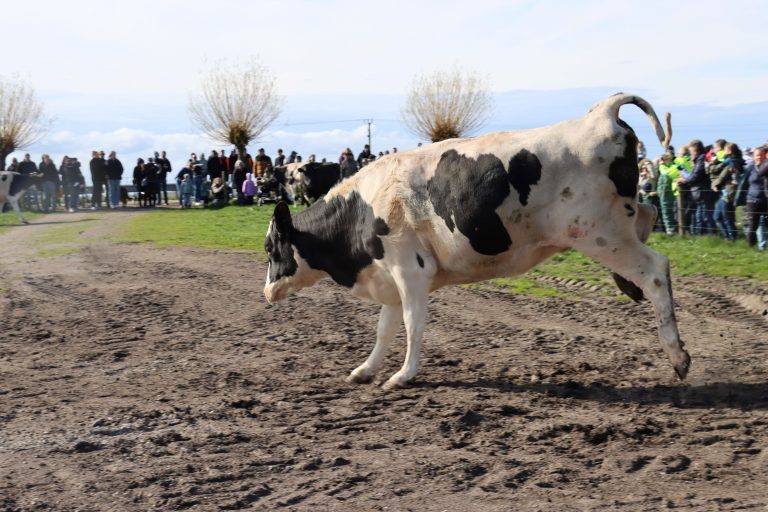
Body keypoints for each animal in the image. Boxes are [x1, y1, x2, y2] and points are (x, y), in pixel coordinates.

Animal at [264, 93, 688, 388]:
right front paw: (366, 369)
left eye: (271, 248)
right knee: (648, 215)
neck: (363, 208)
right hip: (617, 225)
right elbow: (384, 328)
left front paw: (403, 375)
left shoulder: (411, 270)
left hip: (601, 234)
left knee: (655, 269)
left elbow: (412, 323)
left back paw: (677, 354)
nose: (266, 292)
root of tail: (601, 113)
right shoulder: (389, 276)